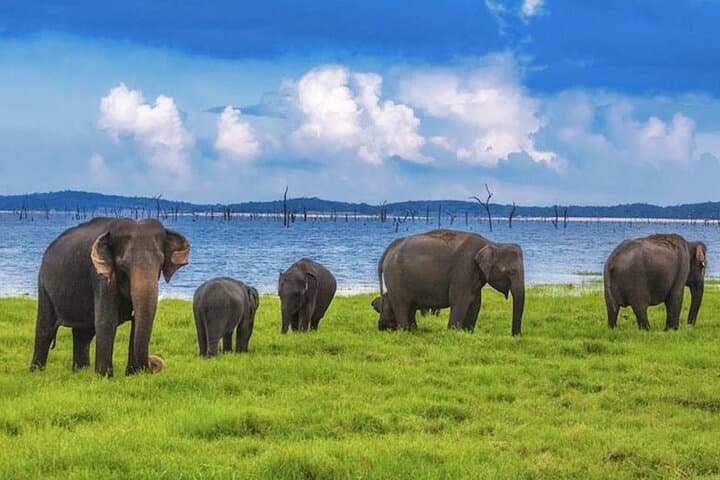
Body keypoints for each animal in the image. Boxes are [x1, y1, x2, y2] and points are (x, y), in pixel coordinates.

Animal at [30, 218, 190, 376]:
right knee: (45, 329)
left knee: (83, 333)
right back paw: (36, 372)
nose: (155, 361)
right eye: (122, 265)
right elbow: (106, 321)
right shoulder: (100, 275)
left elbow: (136, 322)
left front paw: (133, 375)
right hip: (44, 285)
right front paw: (104, 376)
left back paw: (80, 371)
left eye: (161, 263)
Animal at [378, 229, 525, 335]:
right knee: (402, 305)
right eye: (512, 272)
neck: (492, 243)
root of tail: (388, 250)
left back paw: (414, 331)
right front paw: (453, 333)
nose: (515, 335)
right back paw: (405, 332)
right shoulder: (463, 269)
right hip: (396, 278)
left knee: (411, 307)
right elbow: (460, 300)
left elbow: (475, 304)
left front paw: (467, 333)